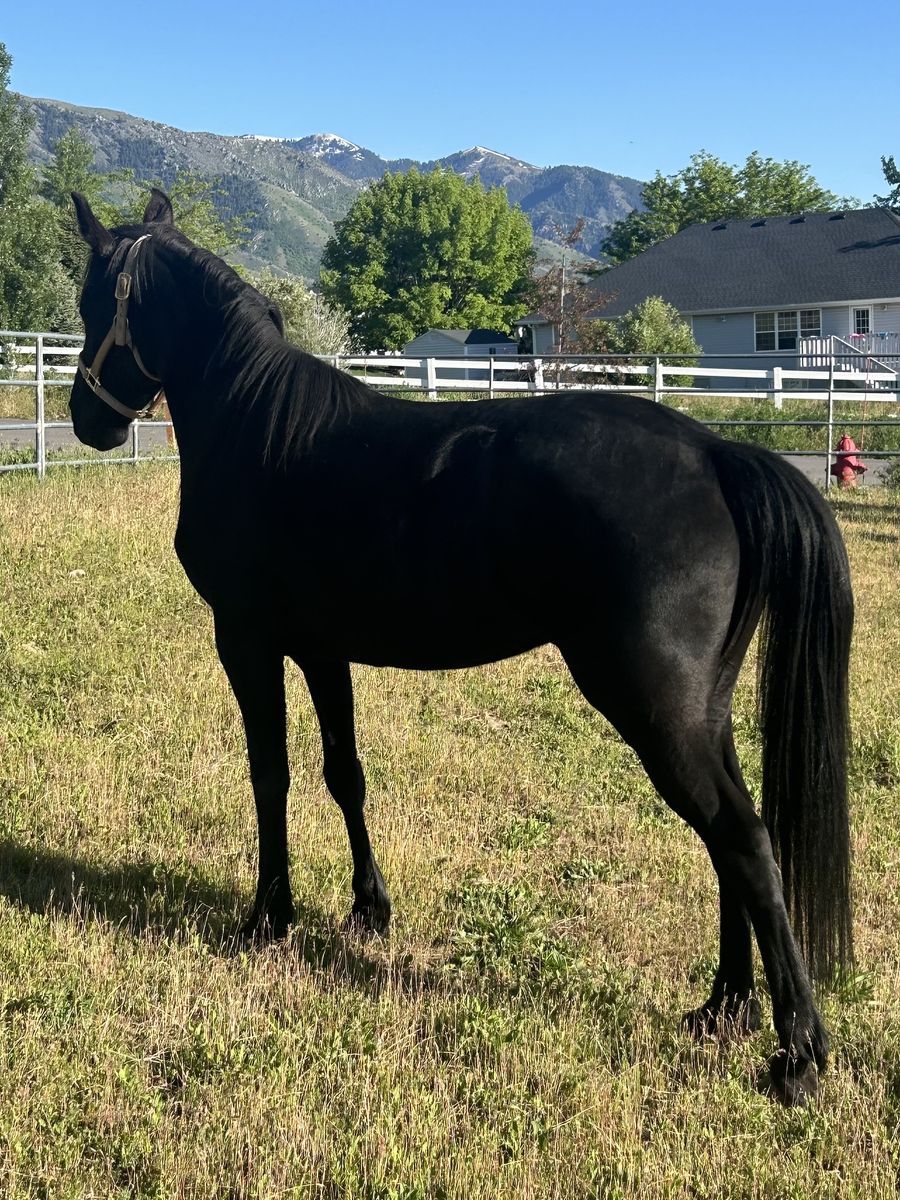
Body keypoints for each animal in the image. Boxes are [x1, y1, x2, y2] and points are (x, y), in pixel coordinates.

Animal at [68, 189, 854, 1105]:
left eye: (93, 303)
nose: (85, 419)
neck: (259, 428)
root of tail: (714, 451)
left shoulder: (249, 639)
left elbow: (271, 774)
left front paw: (269, 917)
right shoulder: (321, 649)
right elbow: (343, 774)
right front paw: (368, 909)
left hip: (654, 708)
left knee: (743, 838)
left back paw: (798, 1054)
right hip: (702, 711)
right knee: (729, 838)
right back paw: (723, 1006)